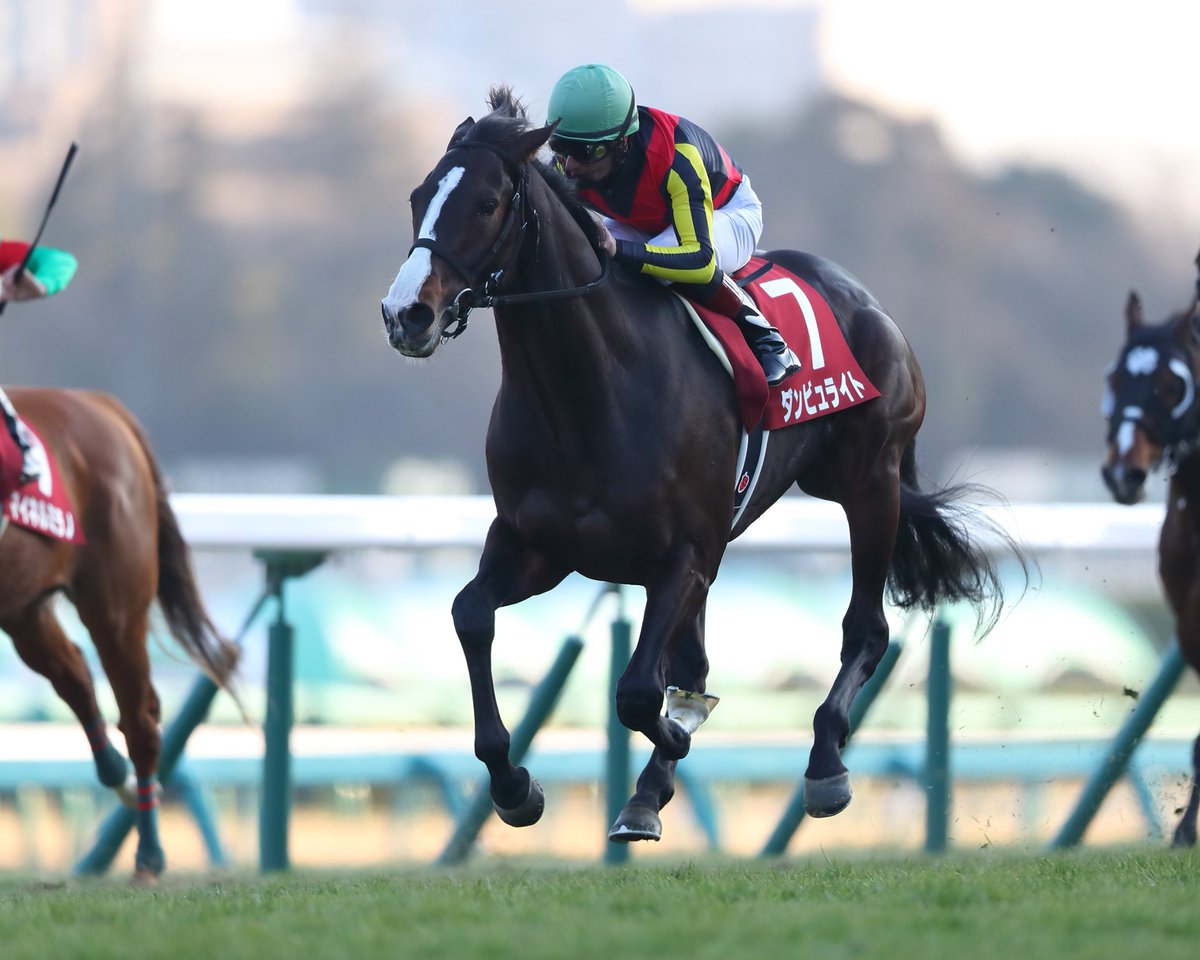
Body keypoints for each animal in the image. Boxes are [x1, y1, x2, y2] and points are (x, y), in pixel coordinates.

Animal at [0, 387, 237, 880]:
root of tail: (100, 403)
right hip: (22, 606)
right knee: (75, 676)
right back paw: (119, 776)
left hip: (116, 607)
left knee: (139, 718)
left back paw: (149, 854)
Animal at [380, 87, 1018, 844]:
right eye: (419, 196)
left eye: (485, 203)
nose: (405, 314)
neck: (587, 392)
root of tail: (867, 302)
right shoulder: (536, 545)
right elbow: (471, 615)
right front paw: (514, 786)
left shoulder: (684, 554)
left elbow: (636, 693)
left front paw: (675, 740)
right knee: (696, 660)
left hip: (869, 481)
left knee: (866, 627)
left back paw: (823, 763)